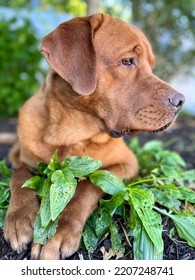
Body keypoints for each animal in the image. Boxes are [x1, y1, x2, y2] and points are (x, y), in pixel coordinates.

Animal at [4, 12, 184, 258]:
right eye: (127, 61)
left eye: (152, 66)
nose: (181, 101)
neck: (68, 136)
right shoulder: (27, 160)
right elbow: (19, 175)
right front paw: (19, 216)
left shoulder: (127, 164)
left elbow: (88, 185)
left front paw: (60, 230)